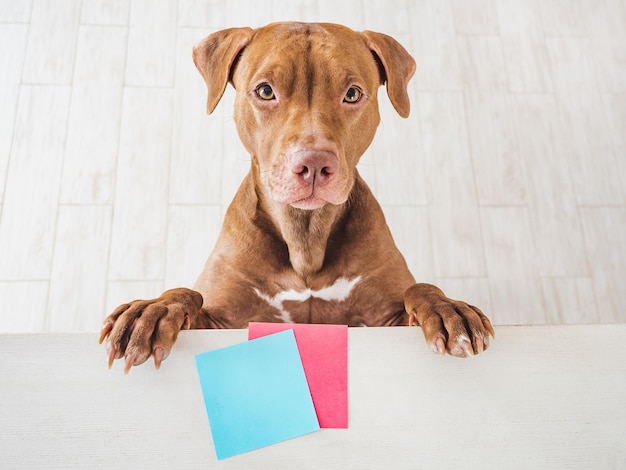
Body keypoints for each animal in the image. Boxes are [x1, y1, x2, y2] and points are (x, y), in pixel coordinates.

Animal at [100, 22, 492, 372]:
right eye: (265, 91)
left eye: (352, 93)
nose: (314, 163)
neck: (304, 236)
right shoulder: (219, 320)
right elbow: (188, 295)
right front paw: (153, 309)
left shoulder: (385, 319)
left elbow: (418, 289)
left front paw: (446, 307)